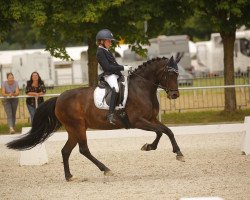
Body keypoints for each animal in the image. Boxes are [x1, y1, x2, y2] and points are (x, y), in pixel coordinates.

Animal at [6, 54, 185, 181]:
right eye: (169, 74)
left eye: (177, 75)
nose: (175, 95)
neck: (142, 88)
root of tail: (59, 98)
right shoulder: (138, 121)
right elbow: (161, 132)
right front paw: (153, 147)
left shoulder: (152, 119)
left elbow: (167, 131)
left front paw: (173, 152)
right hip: (77, 127)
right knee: (83, 149)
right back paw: (106, 170)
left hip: (74, 129)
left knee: (66, 151)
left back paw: (69, 176)